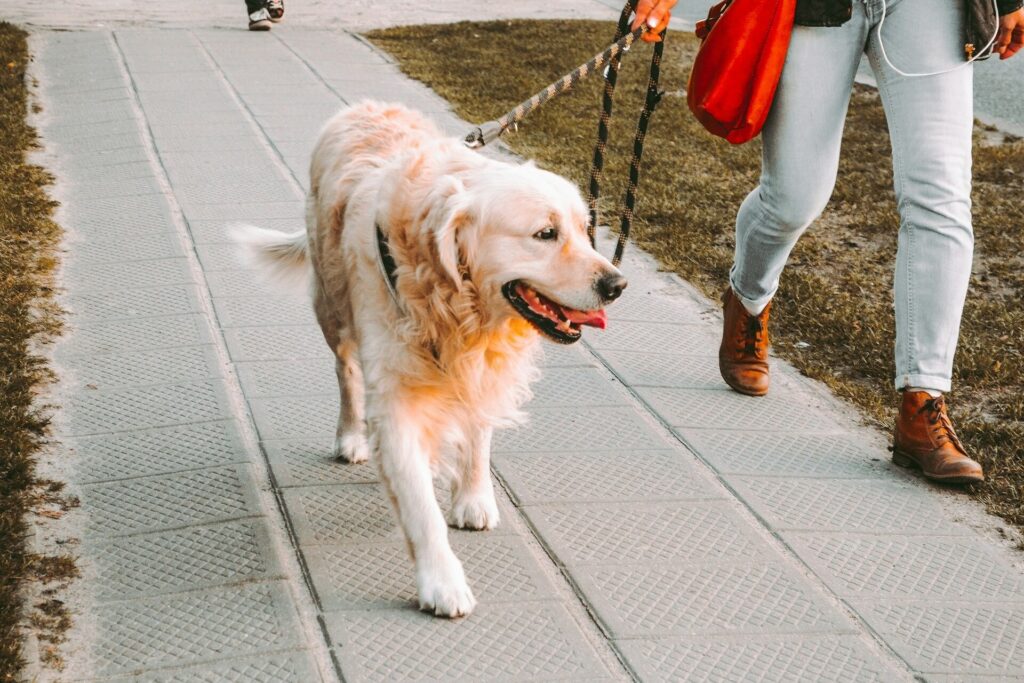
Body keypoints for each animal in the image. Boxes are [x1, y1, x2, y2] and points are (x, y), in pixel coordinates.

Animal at [235, 101, 626, 618]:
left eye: (585, 230)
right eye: (545, 234)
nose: (617, 284)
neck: (456, 304)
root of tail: (361, 106)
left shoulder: (481, 369)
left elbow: (478, 434)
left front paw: (474, 496)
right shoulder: (396, 400)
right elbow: (421, 506)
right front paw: (442, 582)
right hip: (332, 305)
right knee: (346, 371)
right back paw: (351, 436)